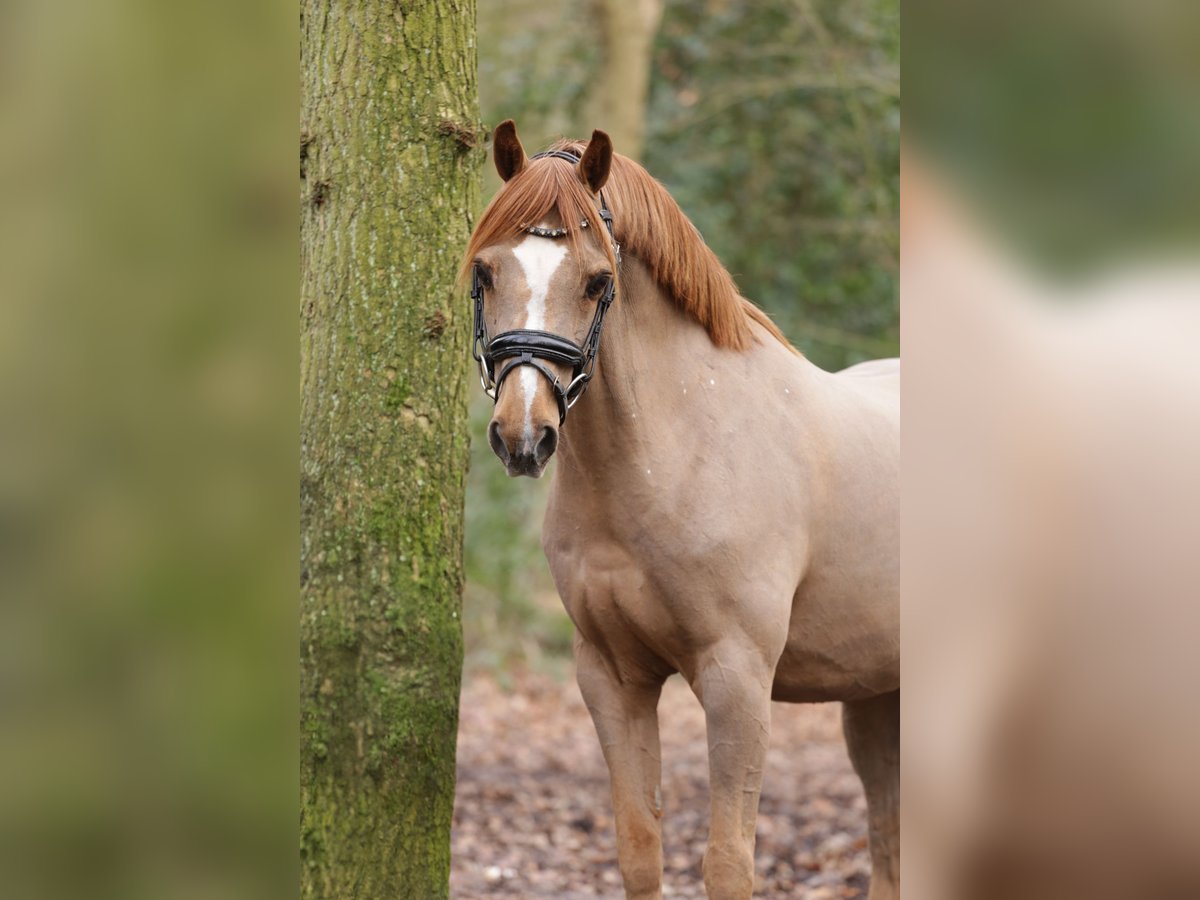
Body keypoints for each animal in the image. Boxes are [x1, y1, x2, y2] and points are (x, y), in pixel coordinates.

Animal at [463, 121, 897, 900]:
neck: (676, 451)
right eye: (485, 272)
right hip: (878, 693)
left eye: (597, 280)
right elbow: (640, 849)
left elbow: (727, 864)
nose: (524, 436)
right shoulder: (612, 678)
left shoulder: (737, 680)